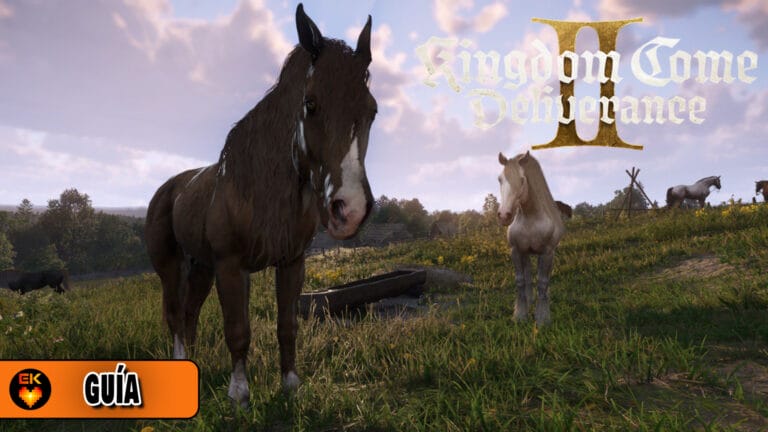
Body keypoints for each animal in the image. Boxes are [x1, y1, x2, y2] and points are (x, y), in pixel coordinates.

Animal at [144, 4, 376, 408]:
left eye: (373, 111)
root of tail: (168, 189)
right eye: (310, 104)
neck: (261, 190)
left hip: (201, 267)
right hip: (171, 266)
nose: (349, 209)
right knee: (174, 314)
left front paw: (291, 385)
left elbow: (287, 325)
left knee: (189, 313)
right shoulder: (231, 265)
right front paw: (239, 394)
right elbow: (238, 329)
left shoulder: (291, 263)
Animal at [497, 151, 565, 326]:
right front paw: (520, 314)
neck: (531, 217)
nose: (504, 215)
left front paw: (542, 318)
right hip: (526, 253)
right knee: (528, 277)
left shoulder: (547, 253)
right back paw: (529, 301)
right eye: (500, 179)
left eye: (522, 179)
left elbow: (542, 282)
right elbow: (521, 280)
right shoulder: (516, 251)